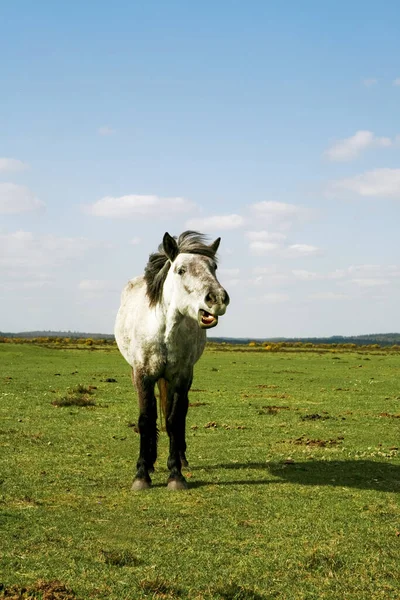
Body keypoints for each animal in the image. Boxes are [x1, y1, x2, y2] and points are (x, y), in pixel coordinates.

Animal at [114, 229, 230, 488]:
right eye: (181, 270)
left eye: (214, 267)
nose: (217, 299)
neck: (164, 330)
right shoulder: (142, 374)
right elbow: (146, 419)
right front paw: (142, 473)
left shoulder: (180, 375)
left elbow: (174, 419)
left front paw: (175, 474)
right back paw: (151, 462)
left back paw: (181, 459)